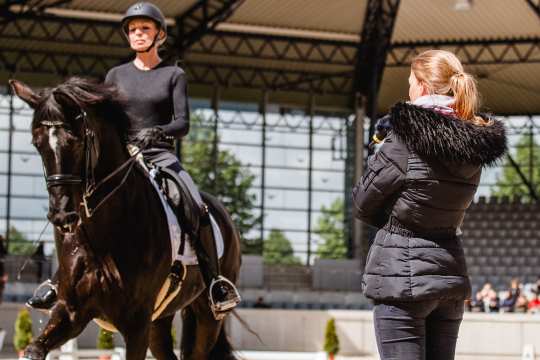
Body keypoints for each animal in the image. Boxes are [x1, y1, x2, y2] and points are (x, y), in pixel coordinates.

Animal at [9, 79, 242, 360]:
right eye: (36, 143)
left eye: (76, 141)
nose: (62, 215)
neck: (102, 235)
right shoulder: (71, 312)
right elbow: (34, 348)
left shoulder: (136, 324)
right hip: (160, 320)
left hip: (207, 315)